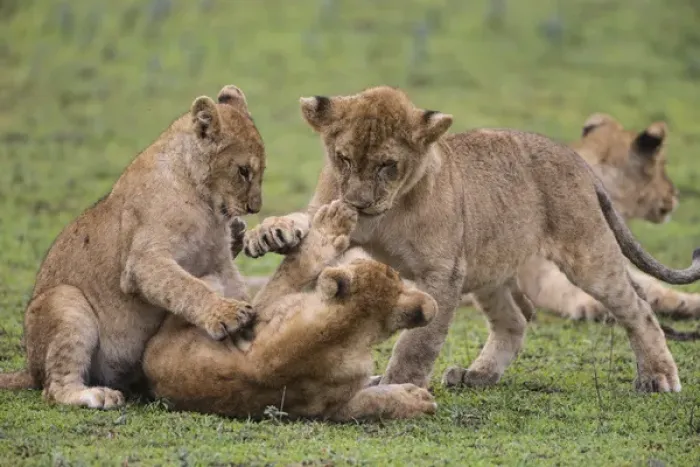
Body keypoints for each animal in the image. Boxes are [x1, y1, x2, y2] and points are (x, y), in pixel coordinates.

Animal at [0, 85, 263, 409]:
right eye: (243, 171)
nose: (254, 208)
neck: (204, 202)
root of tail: (30, 369)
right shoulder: (142, 263)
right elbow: (187, 287)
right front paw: (226, 315)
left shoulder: (219, 261)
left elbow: (232, 283)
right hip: (64, 299)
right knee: (54, 389)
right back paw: (97, 395)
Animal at [243, 86, 700, 393]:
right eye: (343, 158)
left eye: (388, 165)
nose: (358, 202)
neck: (386, 215)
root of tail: (575, 159)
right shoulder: (337, 218)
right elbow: (308, 223)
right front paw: (271, 231)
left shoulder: (443, 272)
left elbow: (418, 342)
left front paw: (397, 385)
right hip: (488, 267)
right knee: (516, 319)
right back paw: (476, 375)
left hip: (585, 255)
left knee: (636, 305)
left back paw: (658, 376)